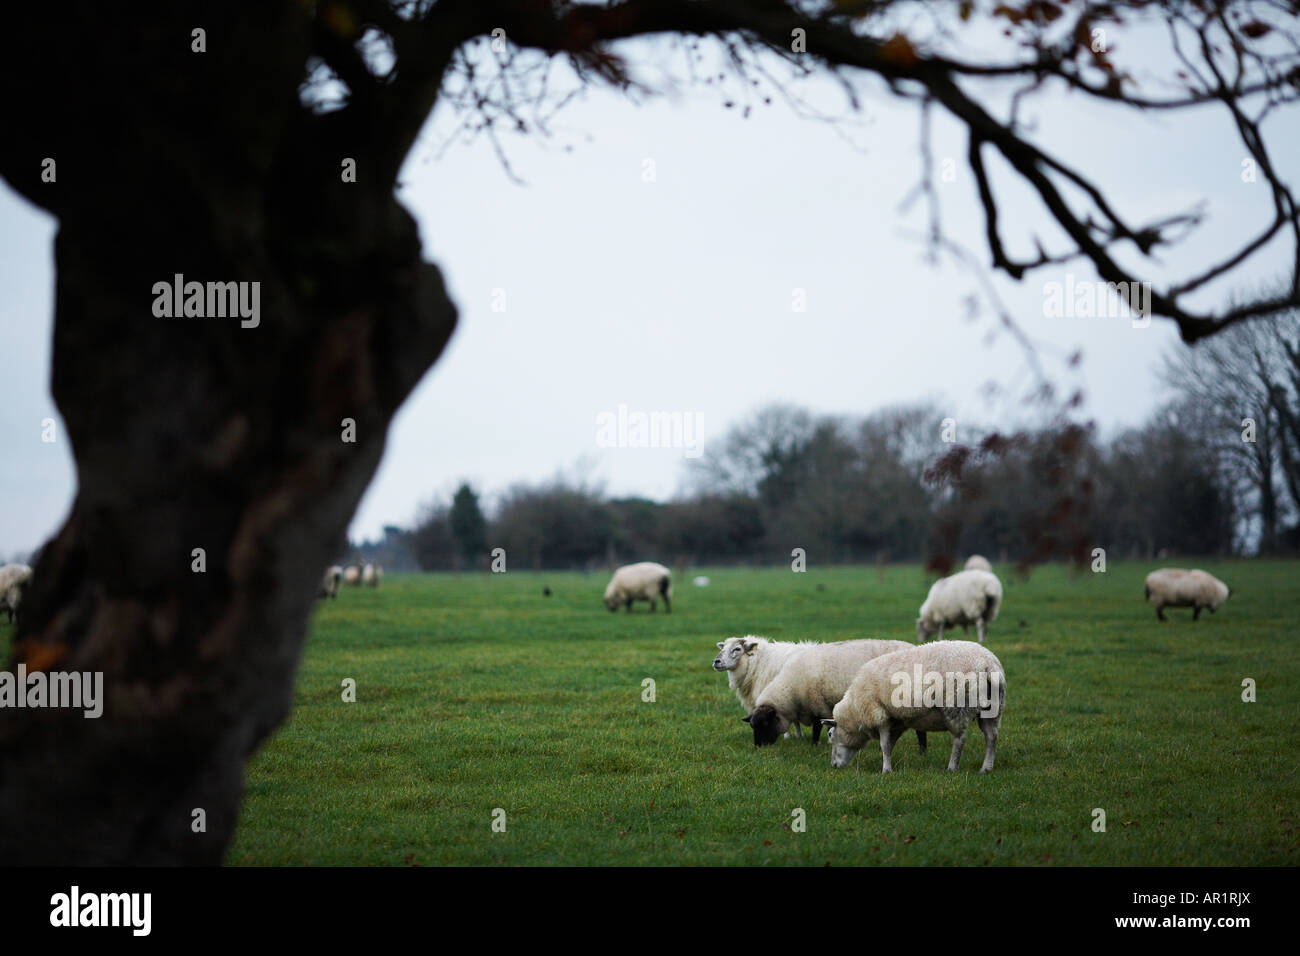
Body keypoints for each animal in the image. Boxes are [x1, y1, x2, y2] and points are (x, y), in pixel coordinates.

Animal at [743, 639, 925, 759]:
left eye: (765, 723)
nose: (757, 747)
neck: (791, 690)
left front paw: (814, 745)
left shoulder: (817, 704)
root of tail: (914, 647)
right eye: (752, 726)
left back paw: (922, 751)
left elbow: (817, 728)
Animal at [821, 639, 1003, 775]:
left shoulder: (880, 715)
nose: (833, 766)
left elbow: (884, 745)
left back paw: (952, 767)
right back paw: (986, 768)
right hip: (992, 709)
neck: (855, 709)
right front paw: (888, 765)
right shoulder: (896, 721)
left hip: (956, 707)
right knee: (991, 736)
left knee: (960, 739)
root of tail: (988, 664)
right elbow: (890, 745)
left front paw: (886, 770)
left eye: (830, 734)